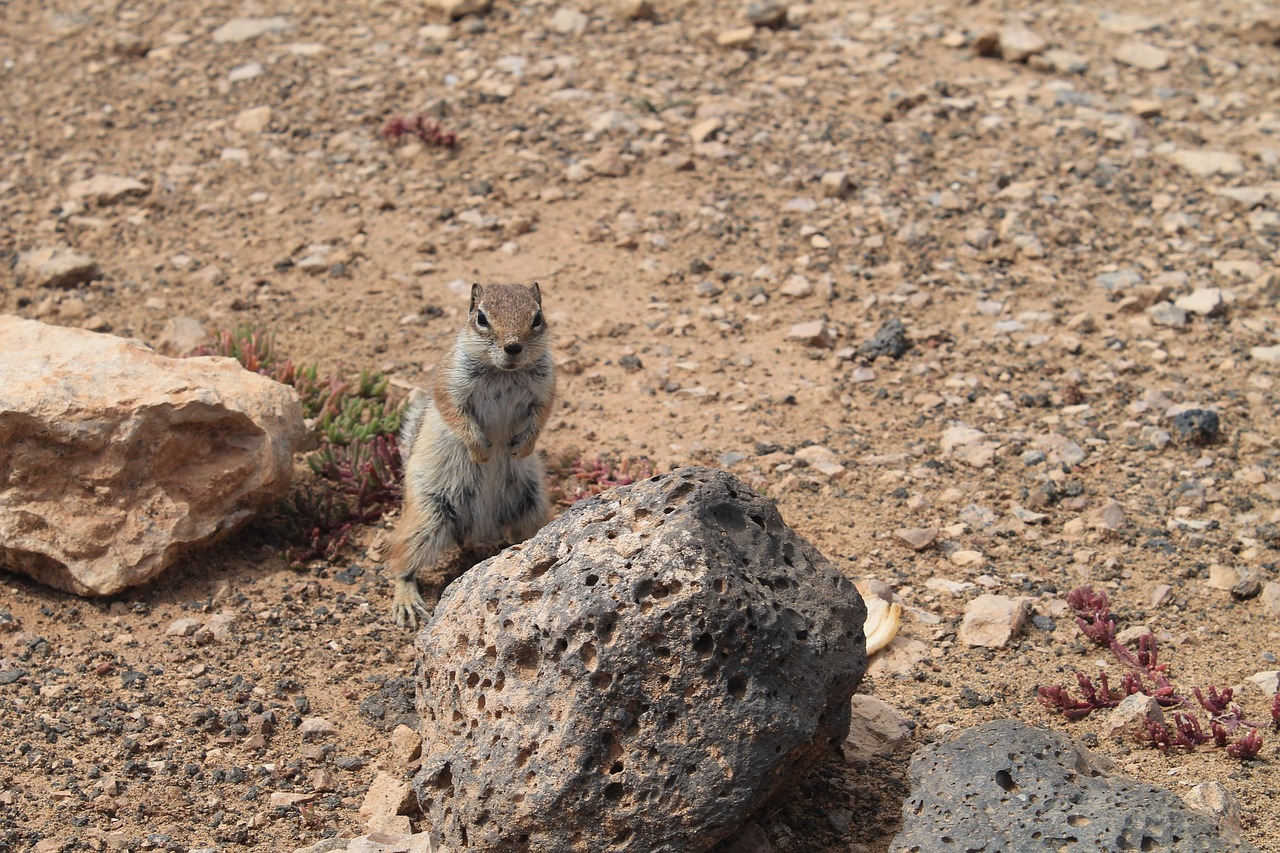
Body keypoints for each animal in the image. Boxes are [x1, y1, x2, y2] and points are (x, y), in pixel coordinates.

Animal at [386, 281, 552, 622]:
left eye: (537, 317)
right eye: (481, 318)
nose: (513, 347)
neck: (504, 372)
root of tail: (479, 530)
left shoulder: (546, 390)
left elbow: (540, 418)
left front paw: (520, 448)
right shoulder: (450, 385)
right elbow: (456, 416)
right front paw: (482, 452)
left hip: (533, 505)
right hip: (426, 518)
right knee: (401, 561)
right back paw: (406, 601)